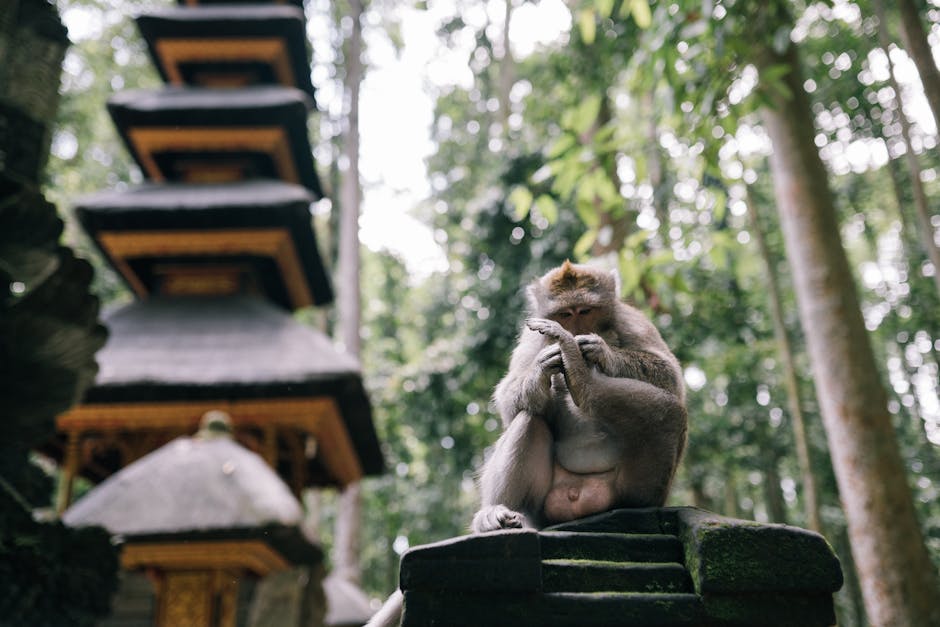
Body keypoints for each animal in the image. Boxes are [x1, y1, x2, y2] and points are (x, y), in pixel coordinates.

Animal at [471, 260, 687, 532]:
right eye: (565, 314)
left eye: (585, 311)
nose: (574, 331)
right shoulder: (531, 336)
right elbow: (508, 402)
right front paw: (541, 367)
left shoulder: (631, 320)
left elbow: (669, 376)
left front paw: (600, 350)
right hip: (541, 509)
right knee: (529, 419)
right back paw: (496, 513)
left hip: (631, 489)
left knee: (669, 413)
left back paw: (581, 378)